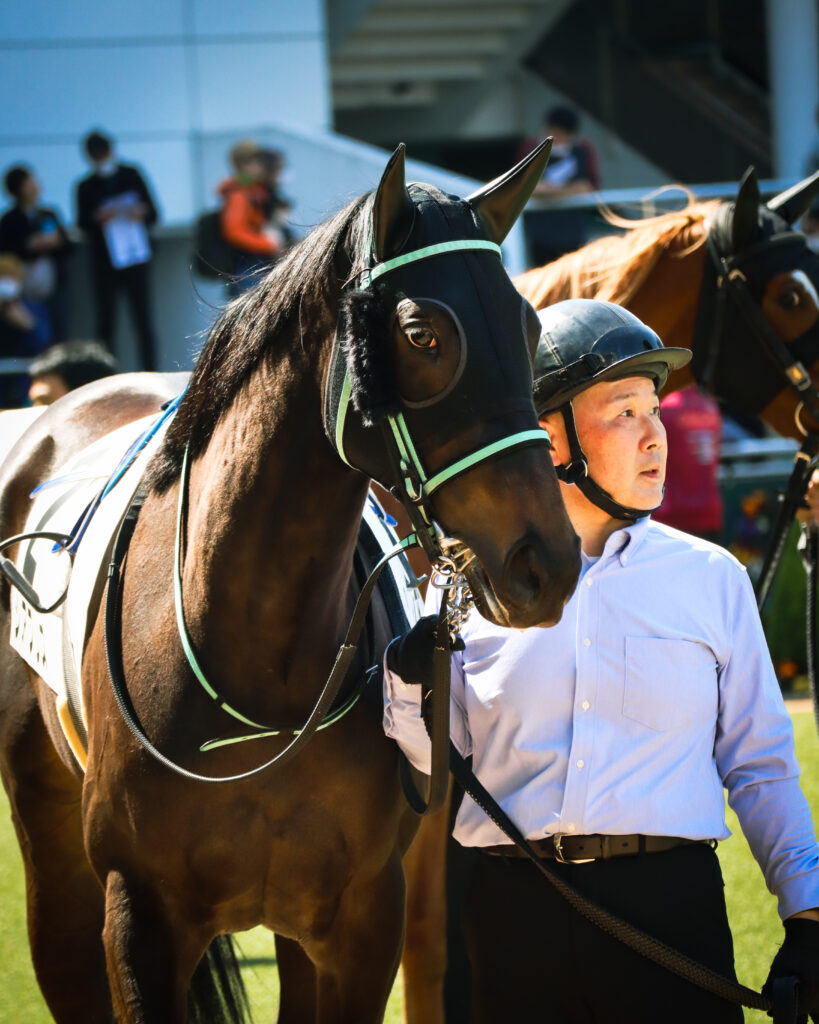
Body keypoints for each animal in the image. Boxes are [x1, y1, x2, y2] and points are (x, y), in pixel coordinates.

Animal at [0, 142, 582, 1024]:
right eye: (422, 334)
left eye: (528, 323)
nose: (545, 561)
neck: (257, 663)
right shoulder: (137, 916)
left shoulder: (358, 917)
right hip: (53, 855)